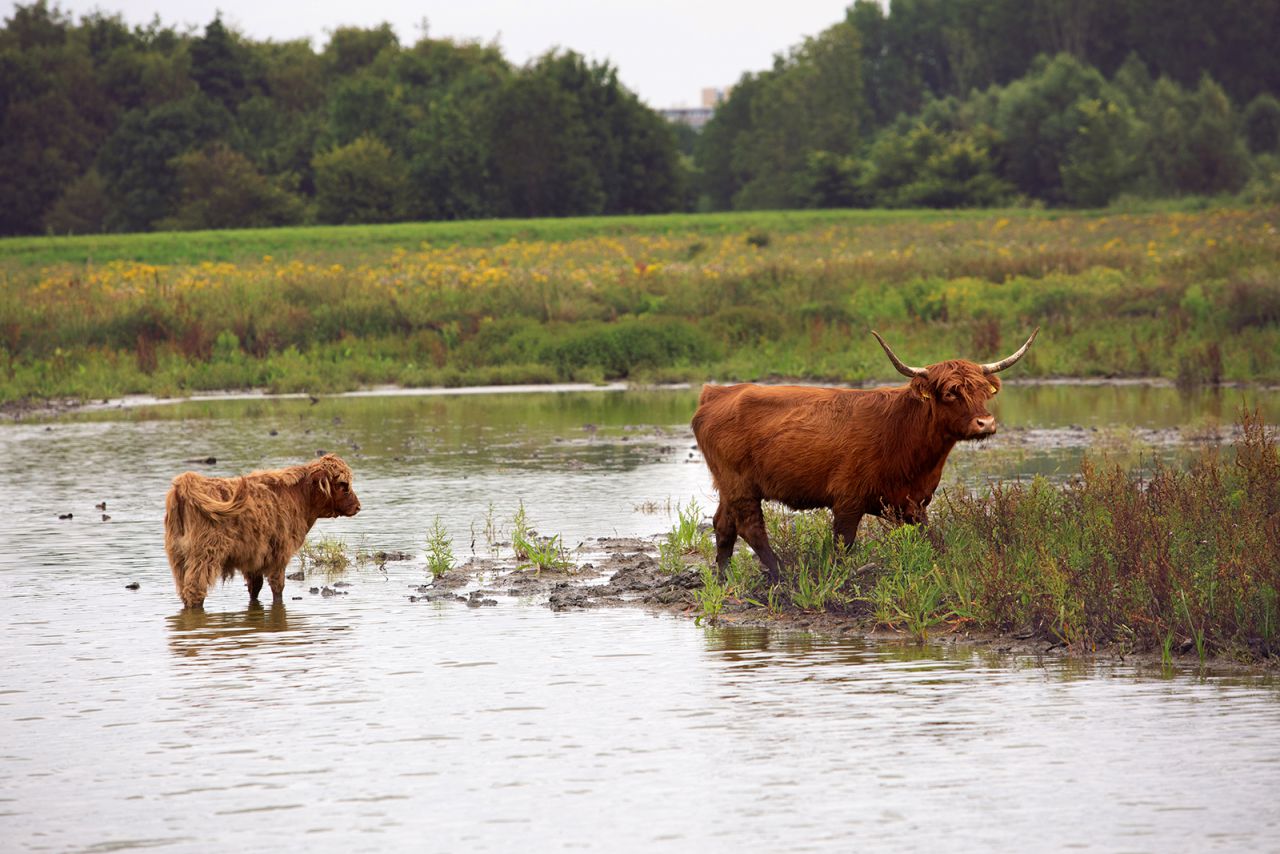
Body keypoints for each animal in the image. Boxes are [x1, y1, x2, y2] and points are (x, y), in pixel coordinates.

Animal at [162, 453, 360, 606]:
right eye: (343, 485)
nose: (358, 506)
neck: (300, 498)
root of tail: (186, 484)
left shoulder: (254, 556)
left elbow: (254, 588)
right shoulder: (279, 554)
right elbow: (277, 587)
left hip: (178, 558)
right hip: (204, 555)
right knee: (194, 591)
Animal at [691, 327, 1039, 581]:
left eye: (981, 390)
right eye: (951, 393)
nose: (985, 423)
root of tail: (717, 392)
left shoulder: (914, 502)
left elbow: (931, 539)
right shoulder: (847, 500)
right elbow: (842, 545)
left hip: (730, 485)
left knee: (724, 524)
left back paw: (724, 579)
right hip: (741, 483)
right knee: (750, 527)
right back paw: (784, 574)